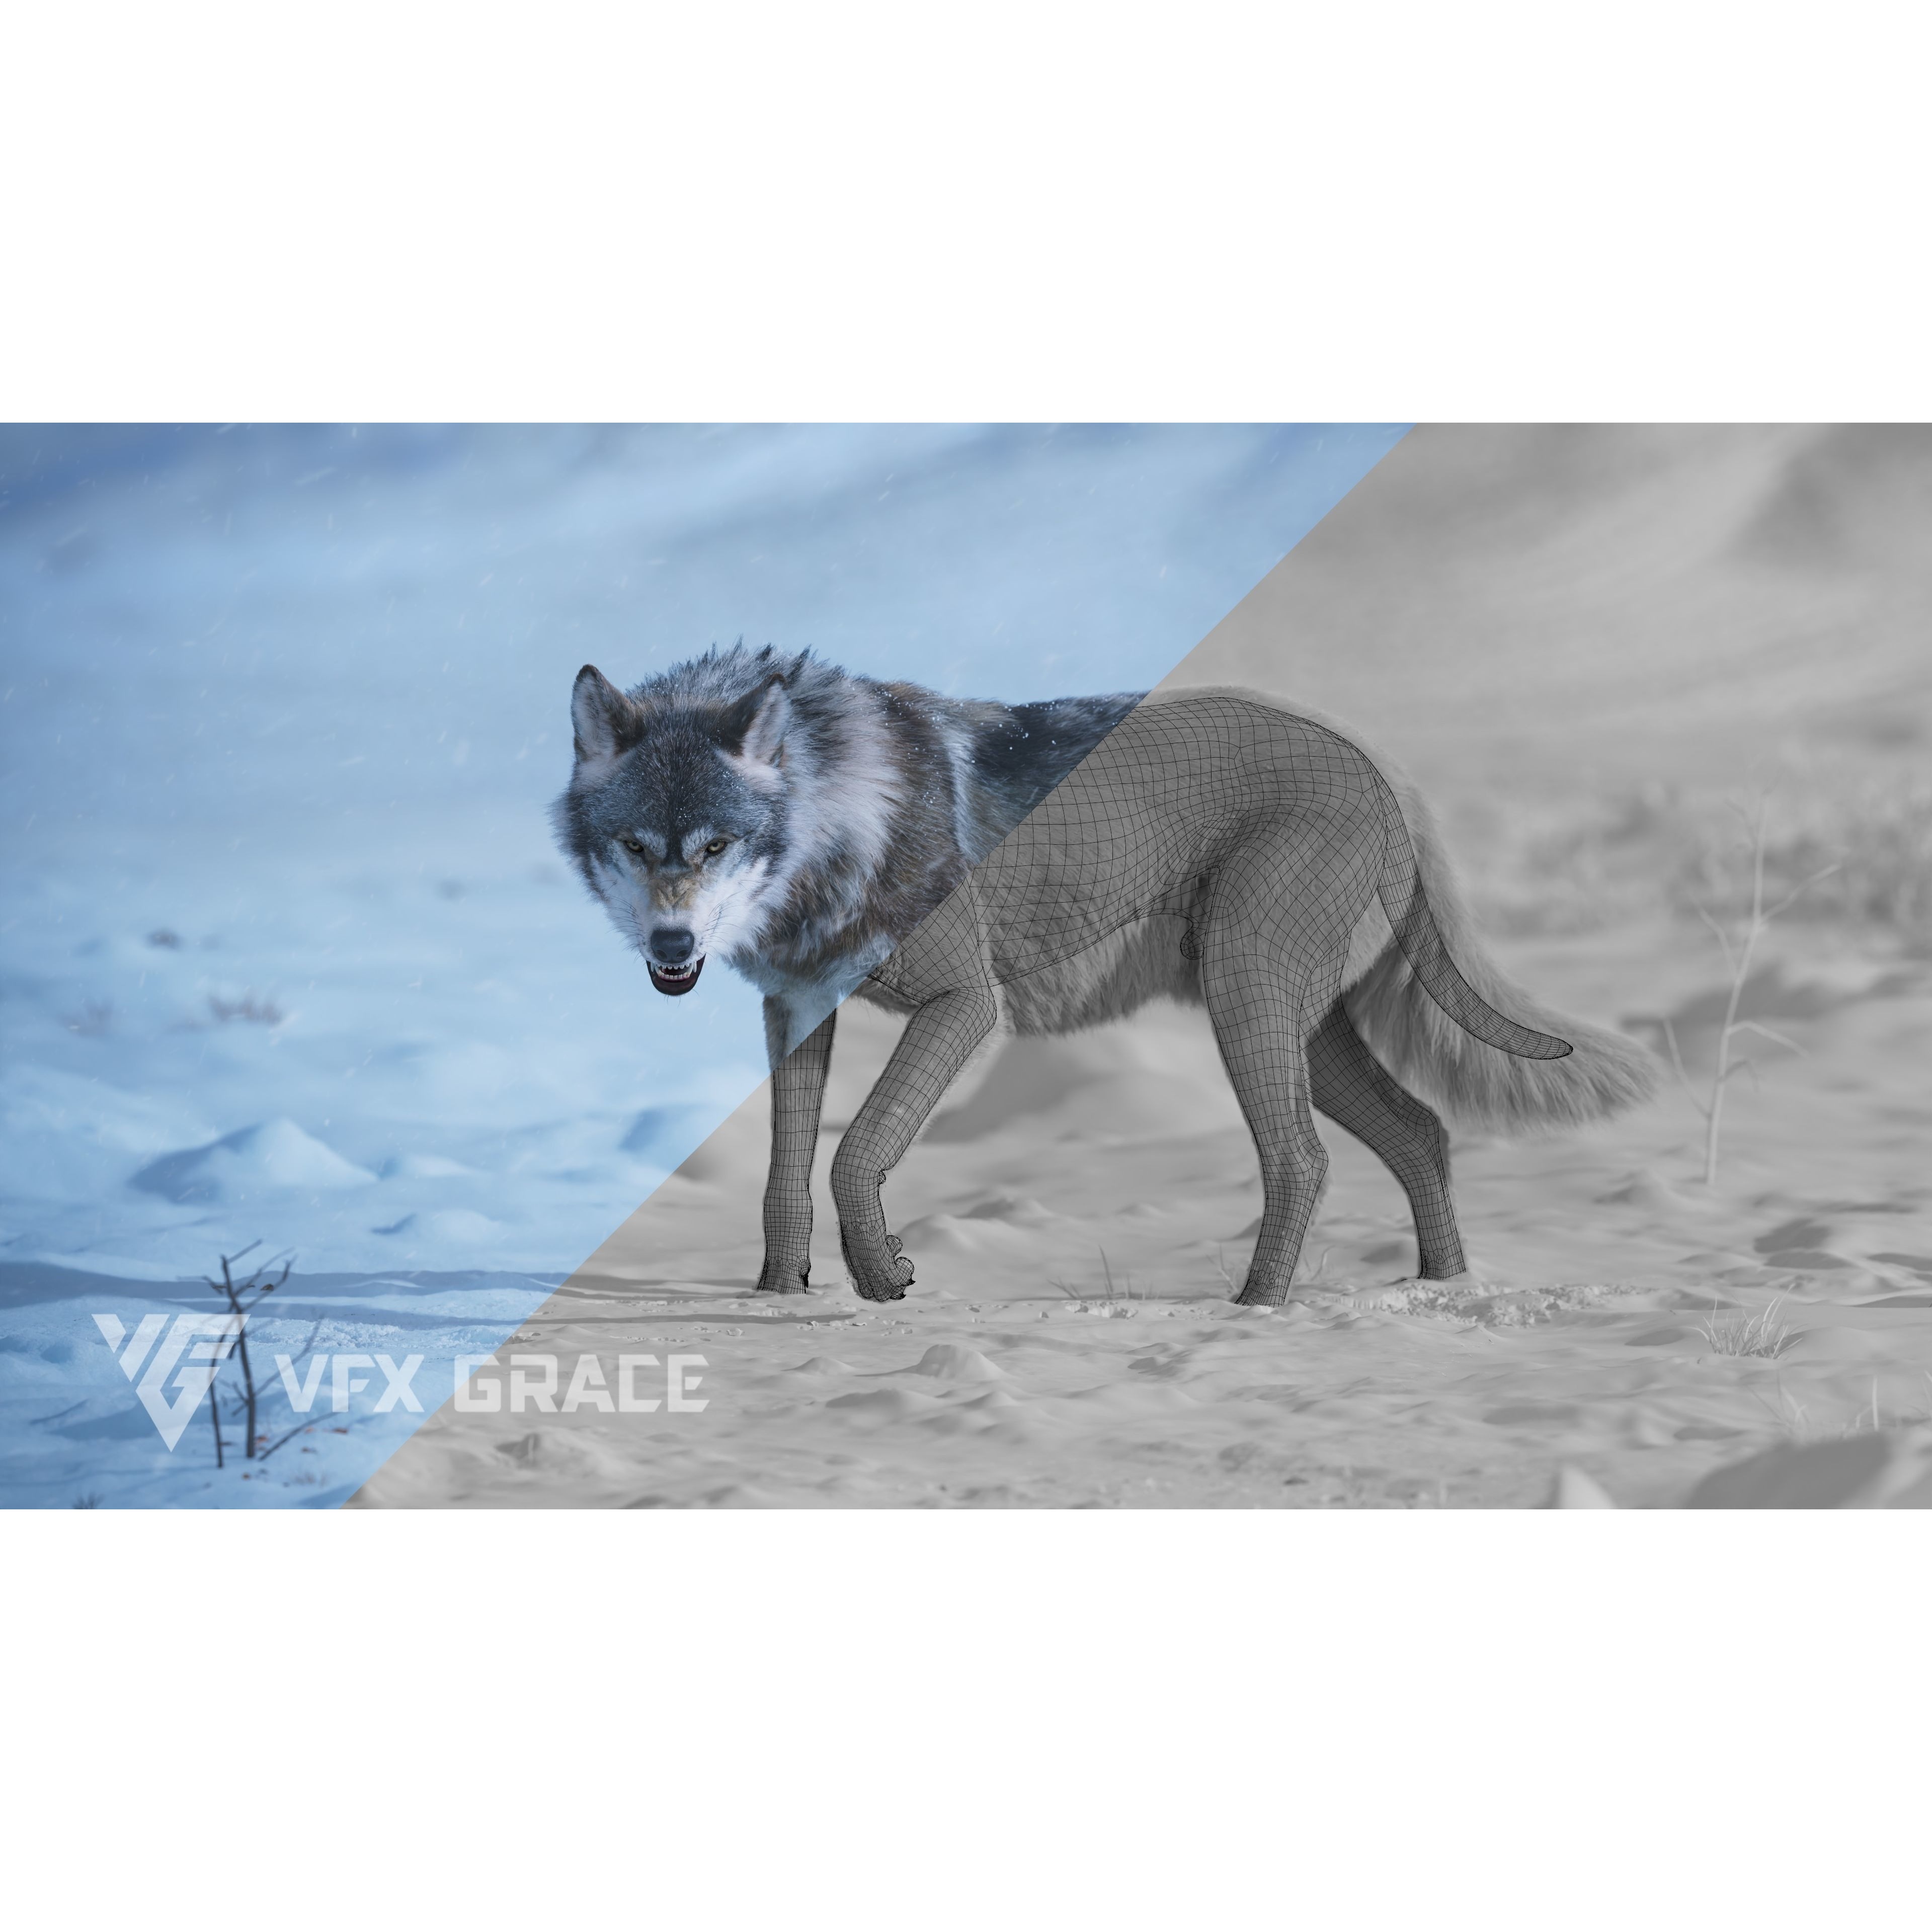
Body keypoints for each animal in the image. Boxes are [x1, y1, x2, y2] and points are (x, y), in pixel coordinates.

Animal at [555, 644, 1655, 1306]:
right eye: (637, 846)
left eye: (715, 846)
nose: (672, 949)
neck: (844, 826)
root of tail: (1378, 766)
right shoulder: (797, 1010)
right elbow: (786, 1173)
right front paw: (779, 1298)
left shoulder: (966, 1005)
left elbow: (852, 1154)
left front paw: (881, 1277)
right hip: (1303, 1029)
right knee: (1421, 1133)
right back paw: (1441, 1292)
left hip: (1247, 1009)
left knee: (1303, 1160)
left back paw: (1252, 1314)